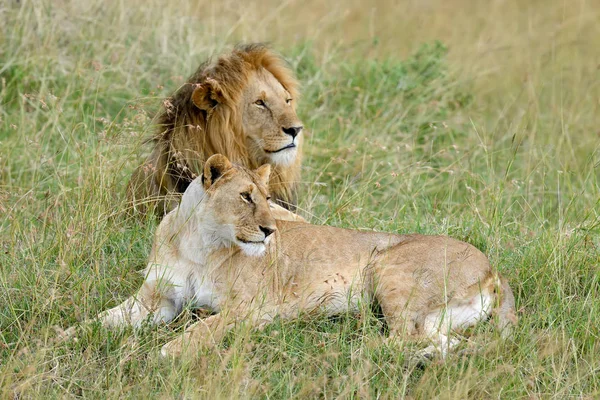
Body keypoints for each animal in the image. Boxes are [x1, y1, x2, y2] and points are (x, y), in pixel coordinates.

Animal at [78, 153, 516, 360]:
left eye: (266, 198)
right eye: (245, 196)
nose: (270, 230)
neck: (198, 244)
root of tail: (494, 269)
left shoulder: (249, 309)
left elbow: (202, 329)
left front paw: (168, 352)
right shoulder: (156, 299)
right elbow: (101, 320)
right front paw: (73, 336)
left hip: (388, 267)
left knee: (401, 337)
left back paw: (352, 349)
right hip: (436, 317)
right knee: (441, 341)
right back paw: (425, 359)